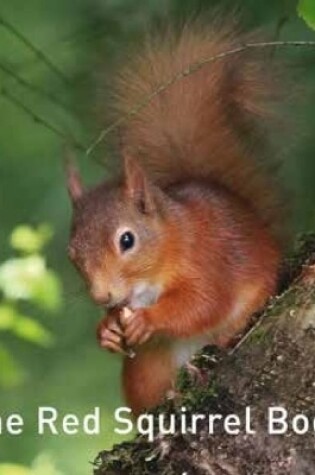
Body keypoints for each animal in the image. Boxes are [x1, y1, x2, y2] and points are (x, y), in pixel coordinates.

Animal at [66, 22, 284, 416]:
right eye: (72, 254)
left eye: (127, 240)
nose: (101, 296)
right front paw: (106, 330)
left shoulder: (208, 258)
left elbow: (203, 302)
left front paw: (148, 320)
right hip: (147, 369)